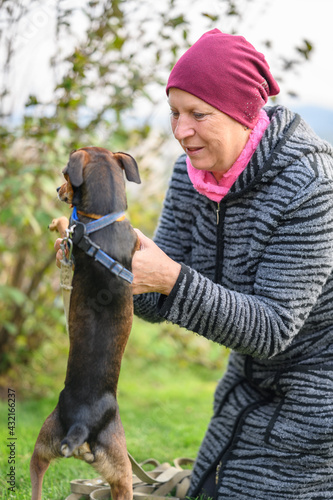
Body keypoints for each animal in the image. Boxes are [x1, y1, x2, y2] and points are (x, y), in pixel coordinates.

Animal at [29, 146, 140, 500]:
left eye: (65, 176)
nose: (56, 190)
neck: (102, 218)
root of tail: (81, 423)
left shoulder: (73, 229)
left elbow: (65, 223)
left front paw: (55, 221)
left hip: (45, 437)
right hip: (117, 469)